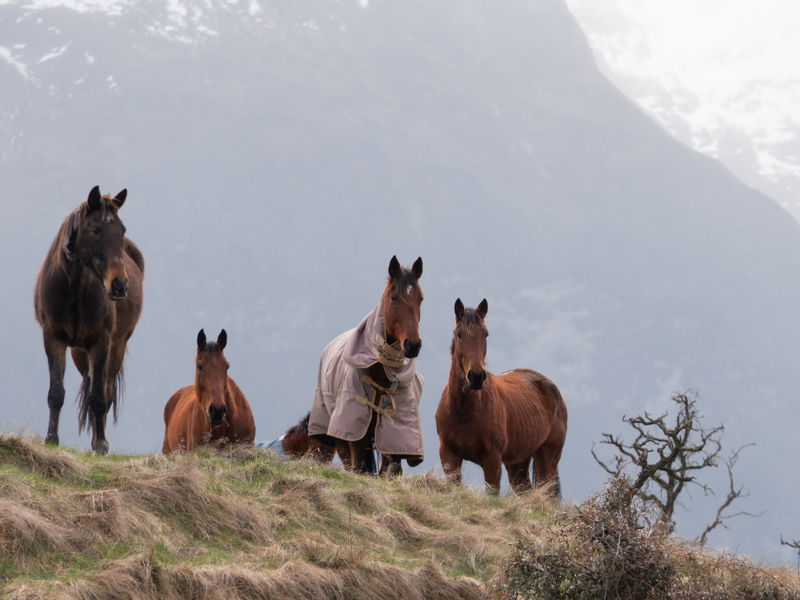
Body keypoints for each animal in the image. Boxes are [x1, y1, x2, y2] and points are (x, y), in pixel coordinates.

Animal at [34, 185, 144, 452]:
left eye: (122, 230)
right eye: (96, 230)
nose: (119, 285)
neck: (73, 288)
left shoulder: (101, 342)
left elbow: (98, 397)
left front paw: (101, 443)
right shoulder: (53, 338)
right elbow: (56, 393)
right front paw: (51, 439)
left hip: (117, 346)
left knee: (105, 388)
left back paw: (98, 440)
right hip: (79, 352)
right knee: (90, 380)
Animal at [434, 300, 564, 496]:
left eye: (485, 334)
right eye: (459, 334)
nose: (476, 377)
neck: (464, 412)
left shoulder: (492, 460)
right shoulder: (449, 456)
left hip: (547, 458)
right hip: (518, 463)